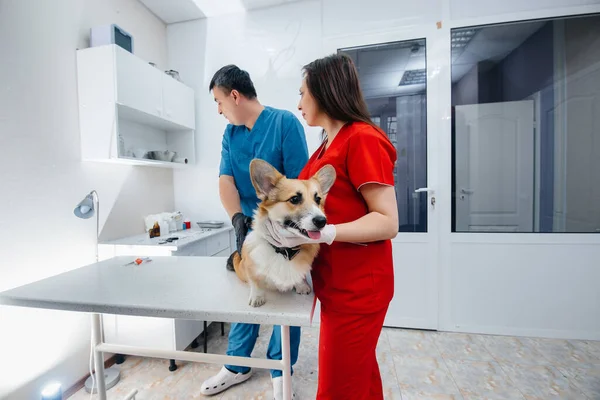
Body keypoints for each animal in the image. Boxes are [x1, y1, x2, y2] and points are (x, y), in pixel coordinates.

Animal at [226, 159, 336, 306]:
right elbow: (255, 282)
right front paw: (257, 297)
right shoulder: (251, 268)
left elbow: (300, 276)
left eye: (318, 199)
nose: (322, 221)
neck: (285, 250)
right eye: (294, 199)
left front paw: (301, 286)